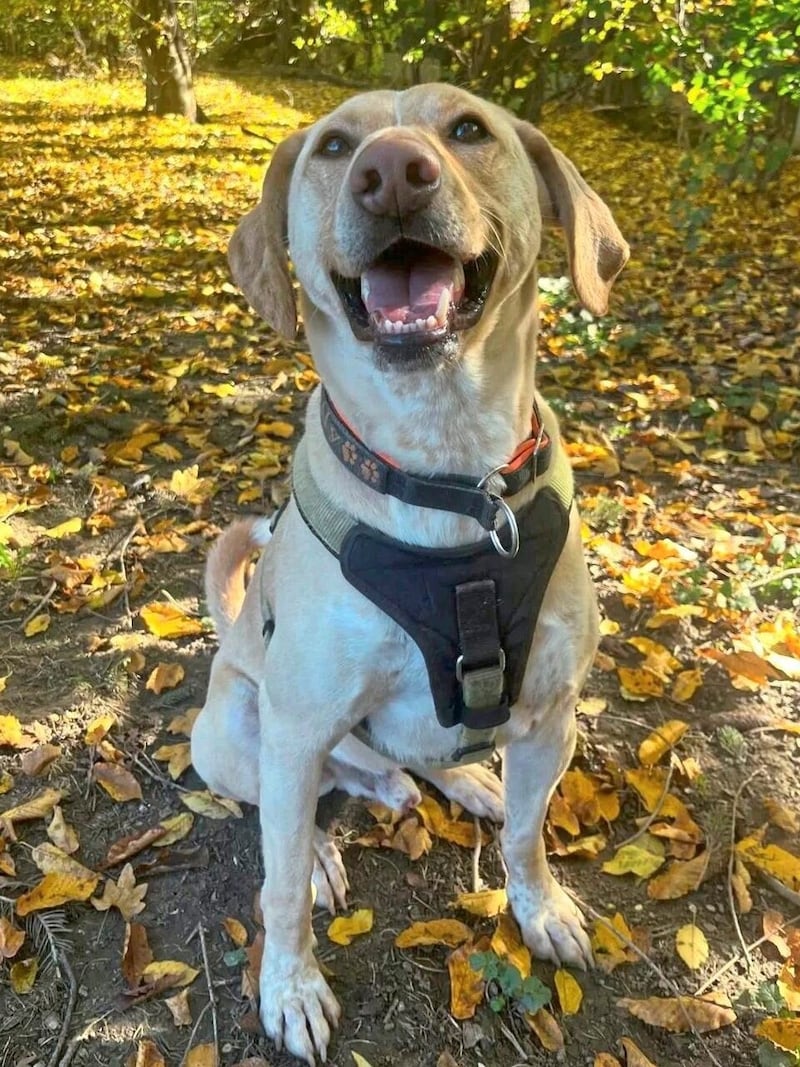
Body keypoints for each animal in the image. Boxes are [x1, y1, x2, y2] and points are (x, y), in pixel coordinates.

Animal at [190, 78, 631, 1062]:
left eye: (468, 128)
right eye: (332, 145)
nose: (391, 172)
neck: (449, 476)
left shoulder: (552, 716)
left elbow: (528, 838)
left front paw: (541, 908)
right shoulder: (295, 721)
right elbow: (278, 887)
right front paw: (291, 986)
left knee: (395, 767)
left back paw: (453, 779)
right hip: (236, 729)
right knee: (290, 809)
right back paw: (326, 846)